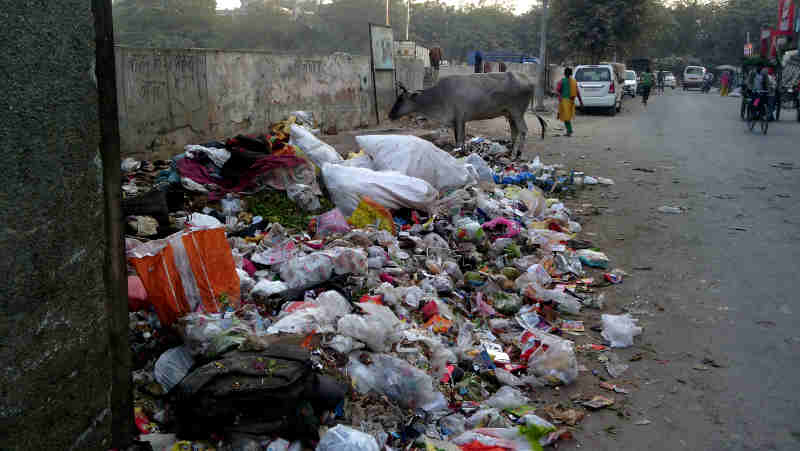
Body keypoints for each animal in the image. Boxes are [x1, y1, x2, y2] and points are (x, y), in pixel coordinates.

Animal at [386, 72, 548, 159]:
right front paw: (463, 153)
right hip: (509, 114)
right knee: (514, 131)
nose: (390, 114)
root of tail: (530, 81)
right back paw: (510, 152)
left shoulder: (459, 118)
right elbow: (460, 139)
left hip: (517, 112)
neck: (438, 96)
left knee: (523, 130)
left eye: (401, 99)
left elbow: (459, 140)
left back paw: (516, 154)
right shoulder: (458, 121)